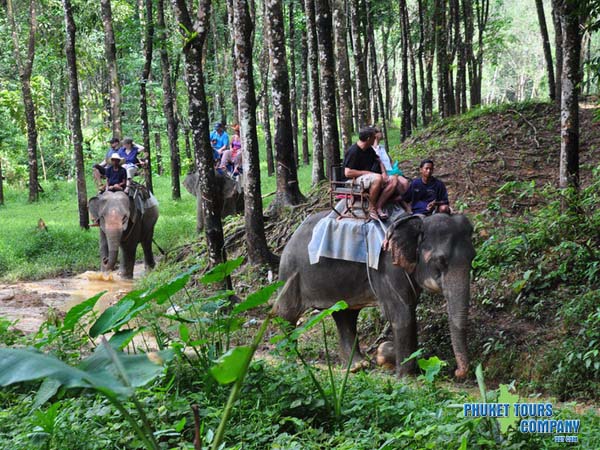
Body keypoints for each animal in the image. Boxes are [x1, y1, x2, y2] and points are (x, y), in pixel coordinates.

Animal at [274, 213, 476, 378]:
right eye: (441, 261)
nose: (457, 372)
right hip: (292, 273)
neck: (417, 221)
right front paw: (407, 377)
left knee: (345, 315)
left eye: (473, 257)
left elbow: (410, 311)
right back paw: (287, 357)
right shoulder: (387, 268)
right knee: (286, 312)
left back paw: (357, 366)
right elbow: (402, 315)